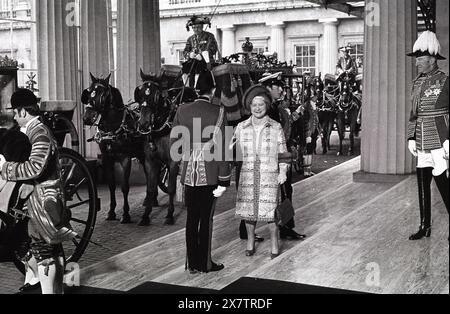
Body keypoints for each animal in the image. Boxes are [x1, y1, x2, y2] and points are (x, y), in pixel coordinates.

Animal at [81, 72, 150, 224]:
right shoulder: (107, 159)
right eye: (89, 91)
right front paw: (111, 212)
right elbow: (112, 185)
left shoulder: (125, 159)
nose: (87, 117)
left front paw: (126, 214)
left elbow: (124, 187)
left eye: (103, 93)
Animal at [134, 69, 186, 226]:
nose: (144, 124)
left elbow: (171, 188)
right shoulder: (150, 161)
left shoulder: (173, 162)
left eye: (157, 96)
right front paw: (145, 215)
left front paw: (169, 215)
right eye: (140, 93)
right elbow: (150, 188)